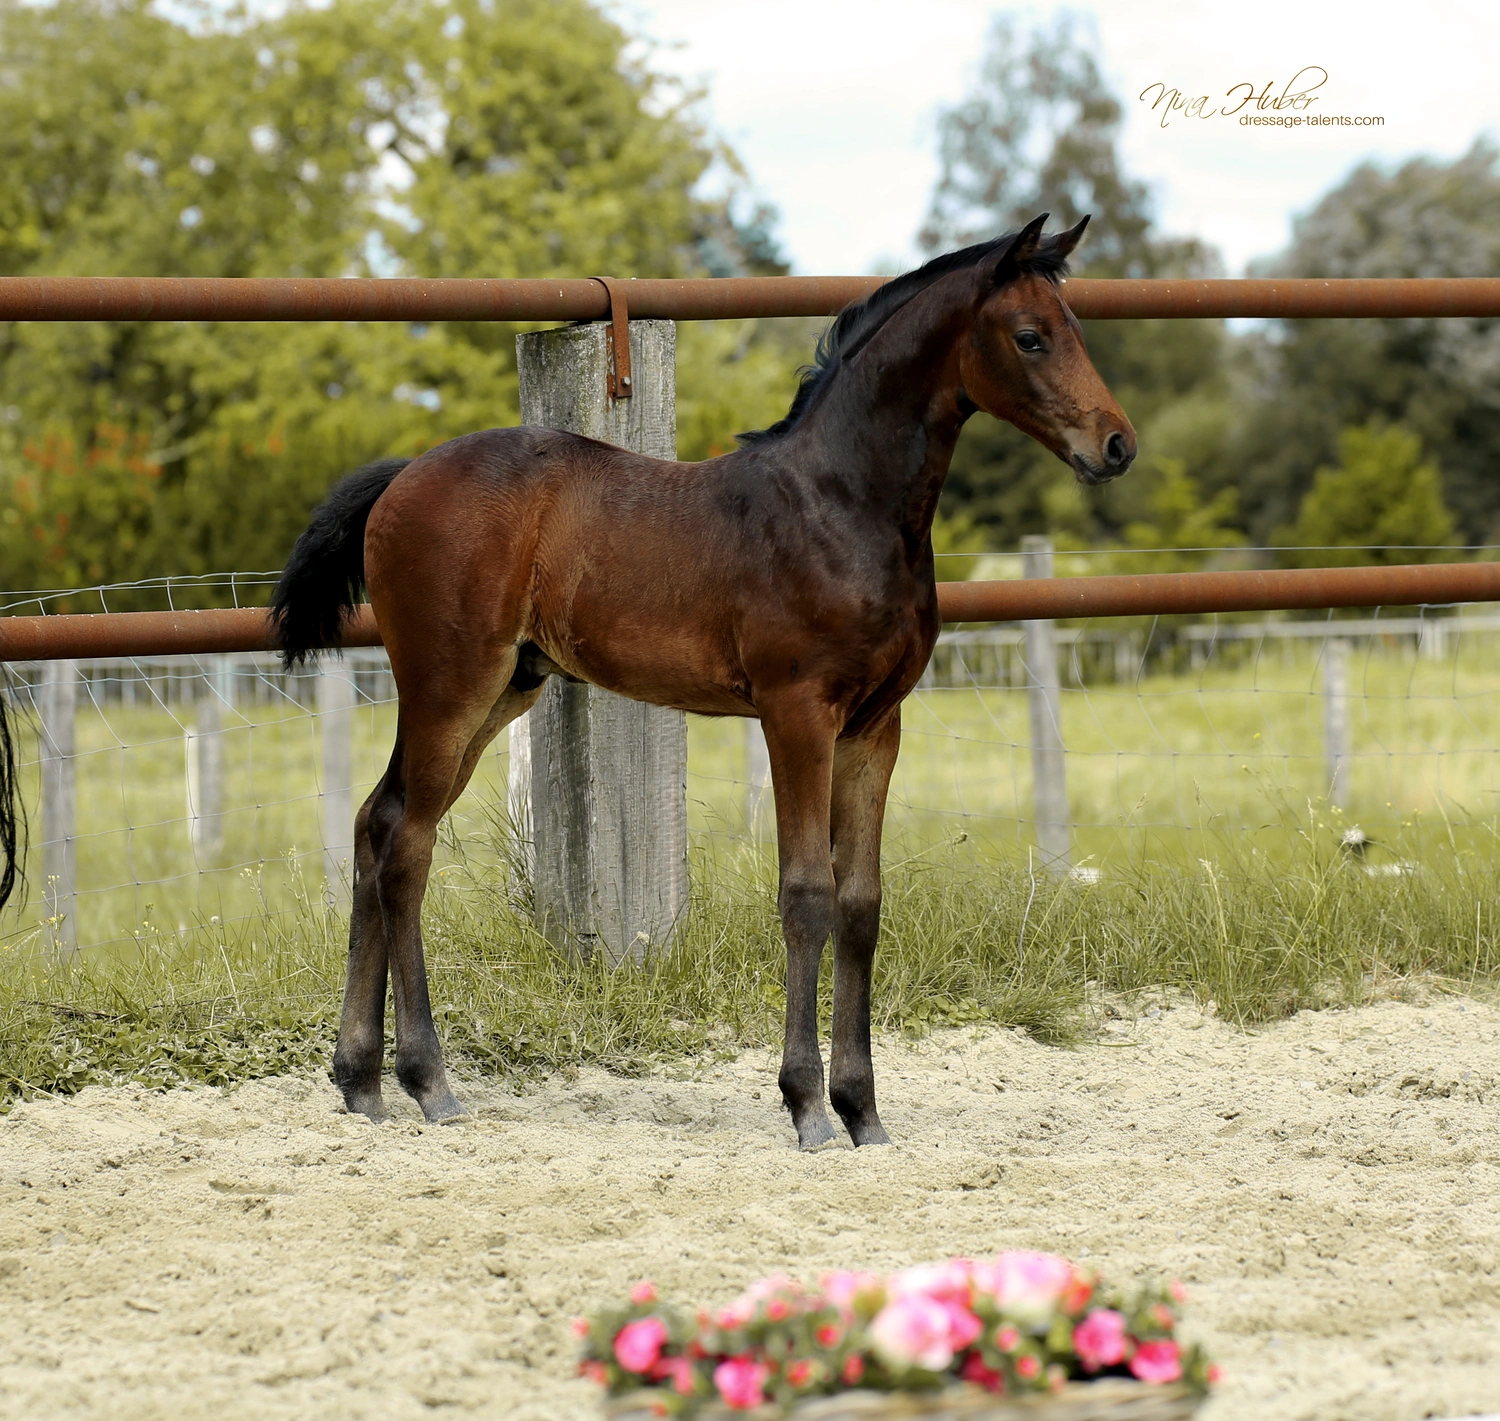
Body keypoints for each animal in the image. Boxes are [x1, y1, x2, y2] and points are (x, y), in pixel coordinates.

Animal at [0, 213, 1135, 1148]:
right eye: (1031, 335)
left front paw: (864, 1108)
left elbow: (861, 902)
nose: (1116, 445)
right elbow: (806, 892)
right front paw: (808, 1104)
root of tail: (403, 477)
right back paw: (427, 1080)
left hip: (506, 689)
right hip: (451, 682)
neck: (841, 504)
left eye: (1074, 323)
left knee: (377, 824)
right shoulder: (796, 713)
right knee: (403, 839)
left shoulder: (875, 725)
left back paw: (359, 1078)